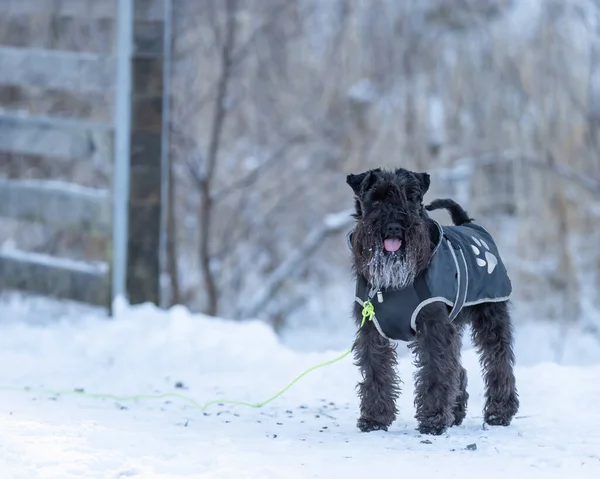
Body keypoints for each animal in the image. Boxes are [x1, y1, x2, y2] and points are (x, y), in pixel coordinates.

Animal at [346, 168, 520, 436]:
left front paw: (433, 420)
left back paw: (499, 413)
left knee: (498, 362)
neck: (394, 283)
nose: (394, 226)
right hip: (456, 323)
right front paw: (374, 418)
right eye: (375, 200)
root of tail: (468, 224)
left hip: (491, 317)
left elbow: (436, 371)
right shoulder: (371, 329)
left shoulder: (433, 327)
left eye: (410, 199)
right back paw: (456, 412)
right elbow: (377, 371)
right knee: (458, 366)